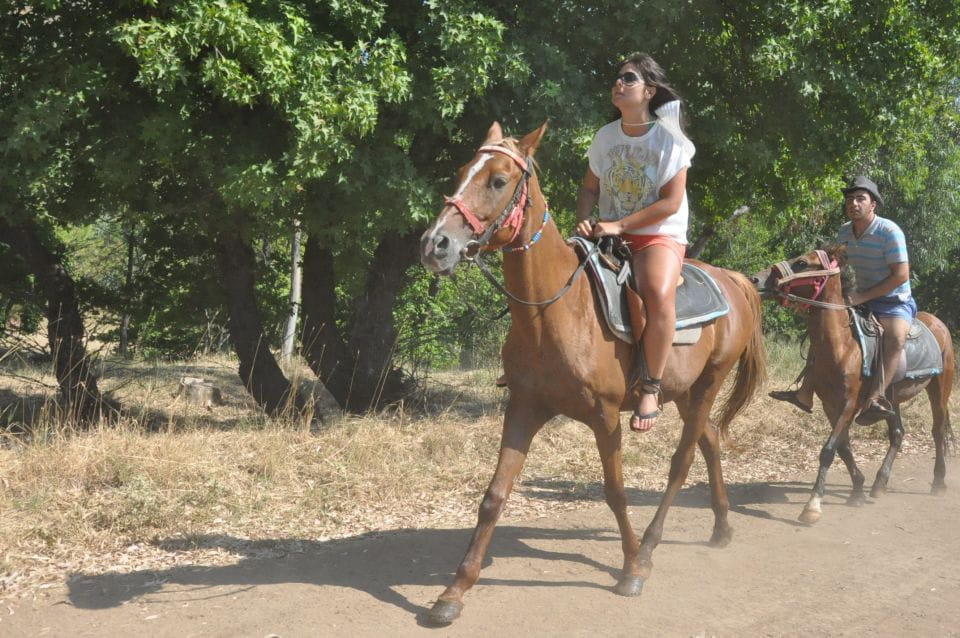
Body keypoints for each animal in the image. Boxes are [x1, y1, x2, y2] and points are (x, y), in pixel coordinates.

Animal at [418, 121, 766, 624]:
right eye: (462, 171)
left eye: (499, 180)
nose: (435, 244)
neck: (553, 311)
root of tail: (733, 280)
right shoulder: (523, 409)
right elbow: (494, 497)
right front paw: (453, 592)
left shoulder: (604, 417)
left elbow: (615, 492)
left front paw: (632, 568)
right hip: (685, 393)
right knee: (711, 444)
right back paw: (721, 527)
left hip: (708, 385)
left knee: (681, 463)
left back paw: (650, 548)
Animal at [750, 245, 954, 524]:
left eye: (802, 263)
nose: (755, 279)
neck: (843, 346)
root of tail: (939, 325)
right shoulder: (830, 405)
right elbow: (843, 448)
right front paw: (857, 489)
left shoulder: (849, 403)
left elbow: (829, 449)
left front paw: (813, 505)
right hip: (891, 400)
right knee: (897, 434)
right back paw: (879, 483)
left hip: (940, 388)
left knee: (937, 431)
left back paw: (939, 481)